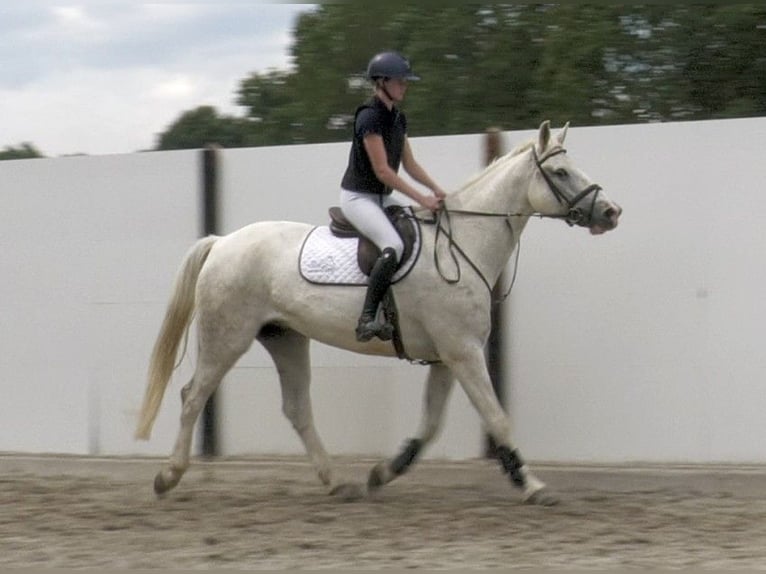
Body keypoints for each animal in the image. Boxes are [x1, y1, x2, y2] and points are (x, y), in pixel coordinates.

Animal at [135, 121, 622, 506]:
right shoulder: (463, 351)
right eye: (560, 172)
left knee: (297, 409)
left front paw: (383, 472)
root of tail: (222, 242)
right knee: (193, 396)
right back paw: (167, 477)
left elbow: (430, 426)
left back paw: (337, 482)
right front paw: (532, 485)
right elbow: (497, 417)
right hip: (228, 336)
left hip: (285, 337)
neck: (464, 243)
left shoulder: (446, 357)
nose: (610, 211)